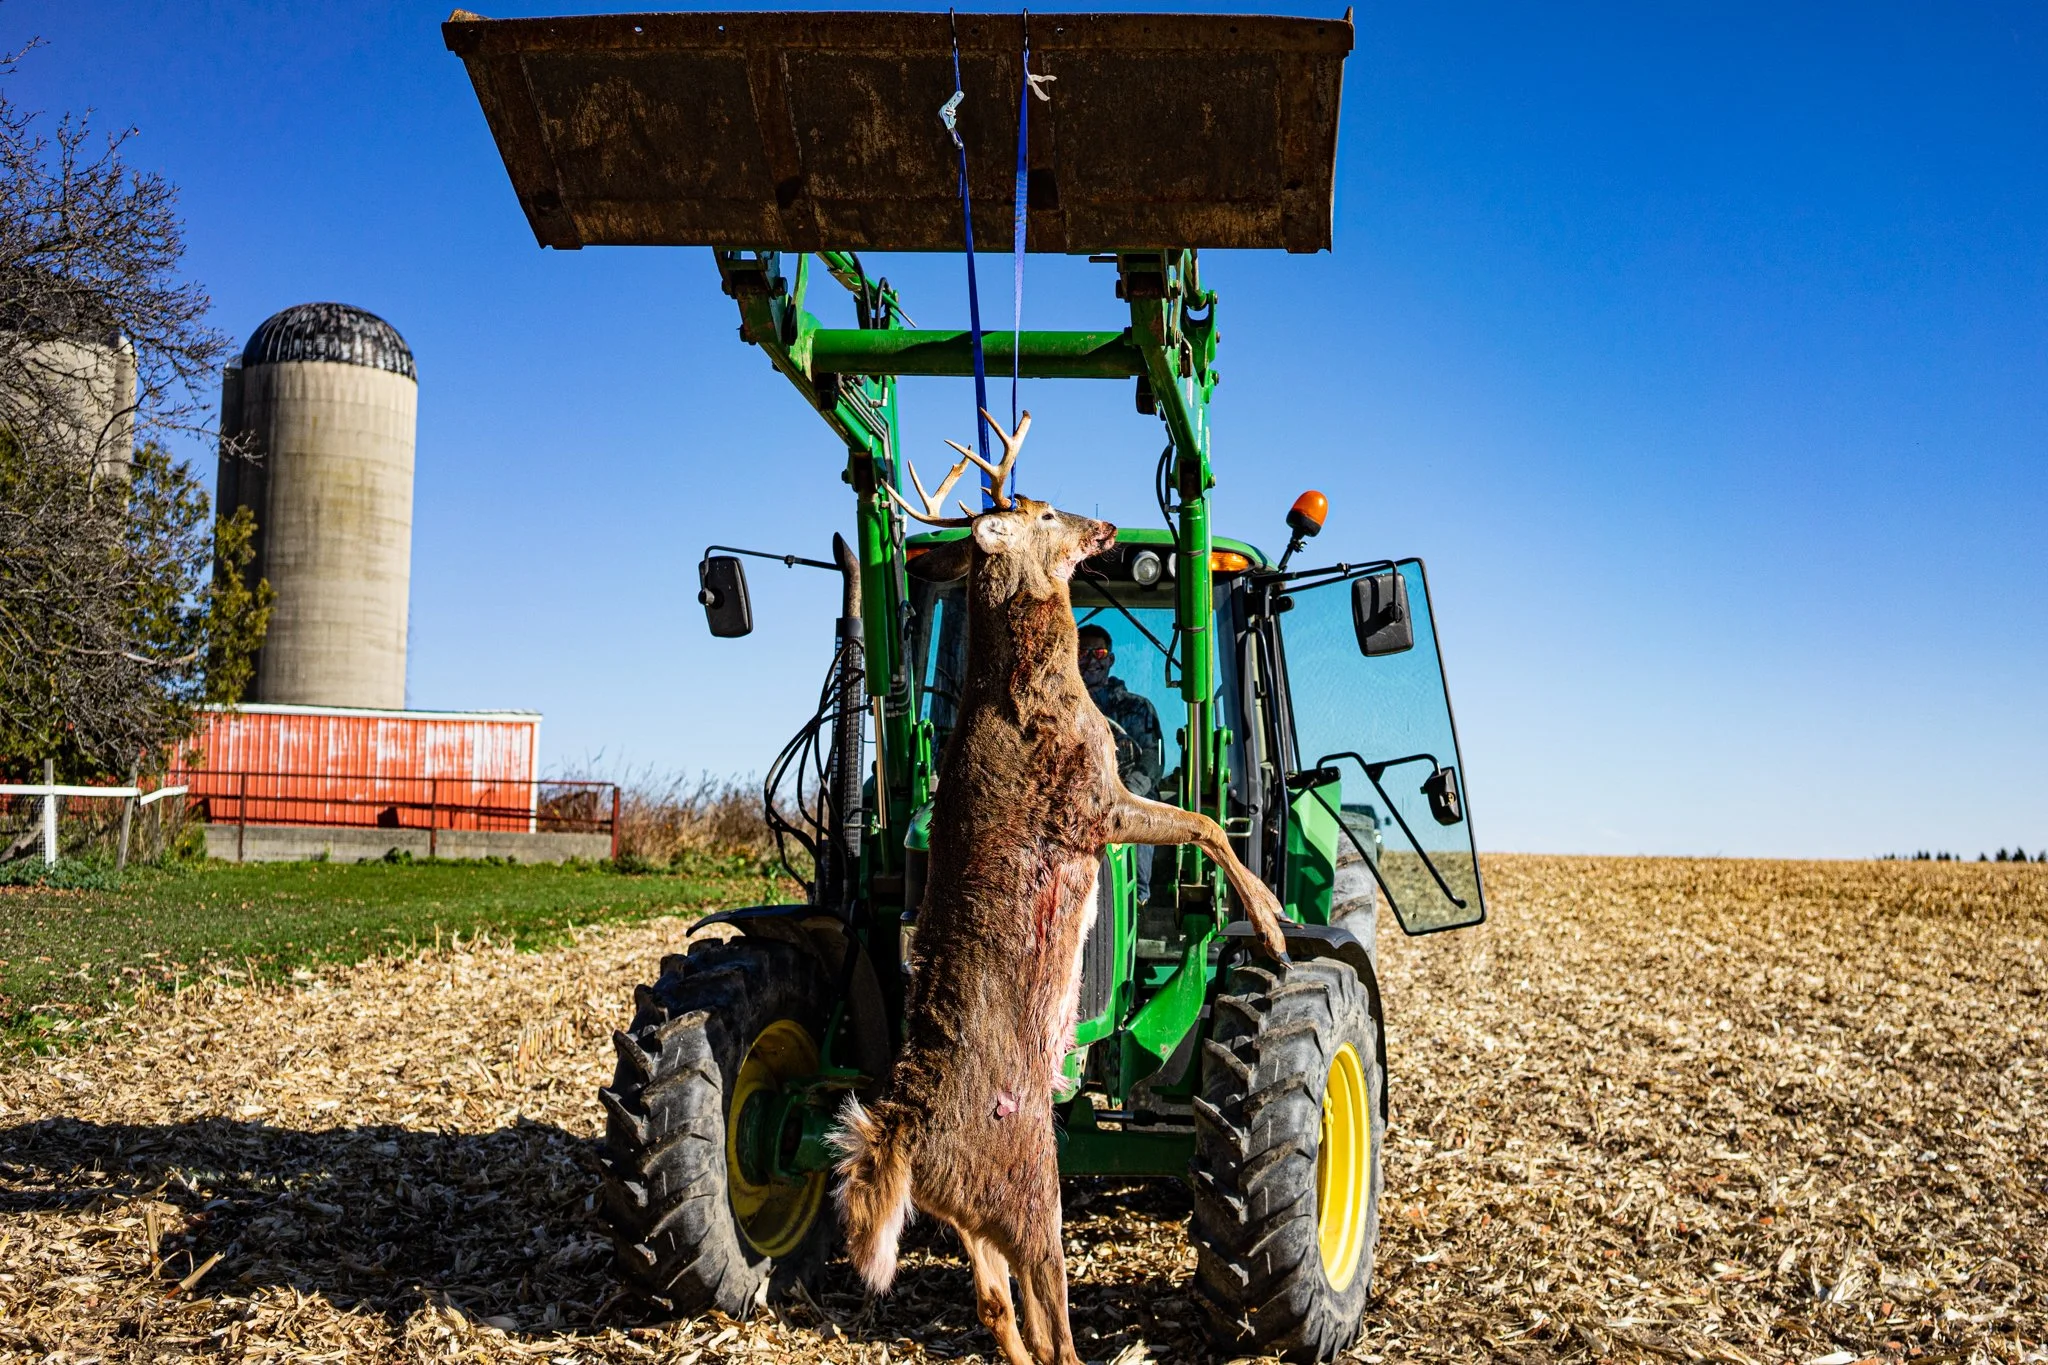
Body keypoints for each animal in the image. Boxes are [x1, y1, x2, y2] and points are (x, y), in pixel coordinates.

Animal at [831, 411, 1291, 1365]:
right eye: (1043, 512)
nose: (1108, 524)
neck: (1033, 685)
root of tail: (910, 1131)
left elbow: (1204, 823)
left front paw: (1262, 914)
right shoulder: (1091, 803)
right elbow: (1205, 823)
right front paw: (1267, 919)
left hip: (971, 1211)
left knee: (998, 1306)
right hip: (1029, 1179)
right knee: (1051, 1313)